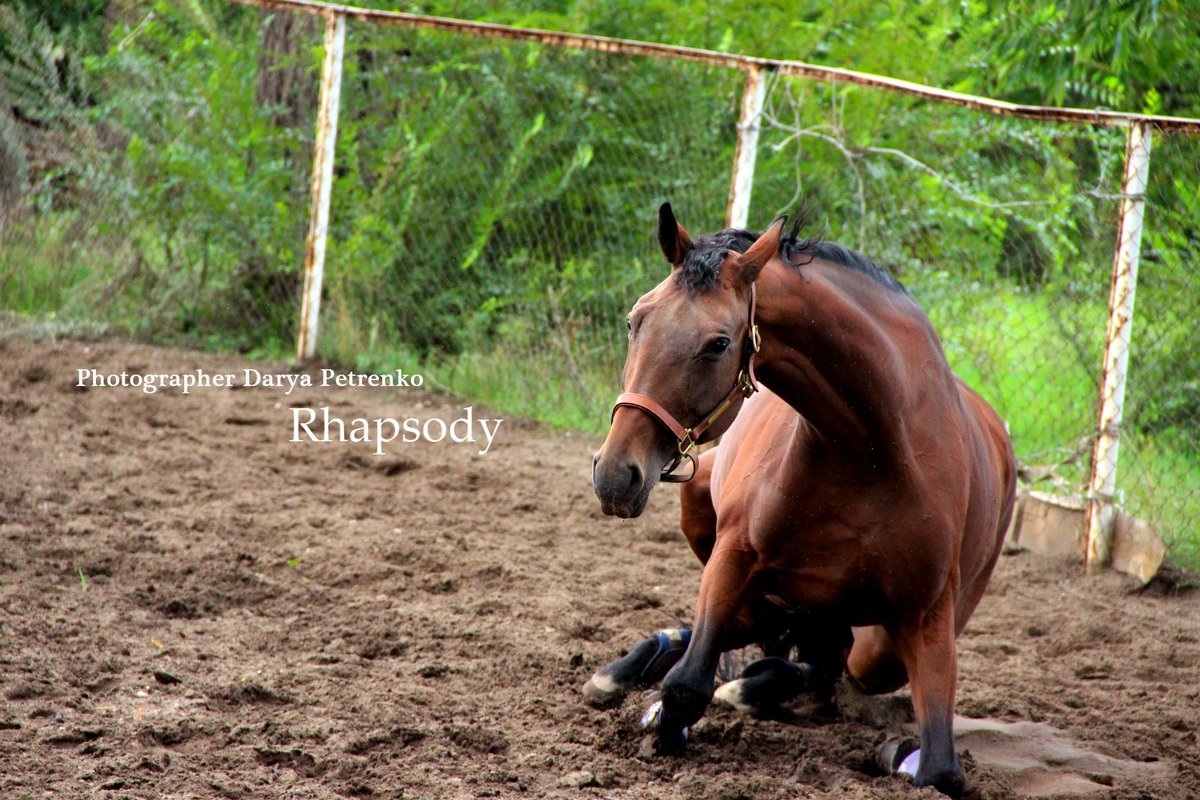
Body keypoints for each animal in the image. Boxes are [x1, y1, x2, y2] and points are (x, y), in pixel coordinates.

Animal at [590, 205, 1012, 796]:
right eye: (635, 320)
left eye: (718, 344)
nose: (615, 475)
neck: (873, 448)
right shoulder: (734, 556)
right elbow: (688, 683)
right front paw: (663, 717)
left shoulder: (926, 618)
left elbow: (941, 770)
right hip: (700, 507)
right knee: (762, 631)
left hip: (876, 648)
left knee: (821, 654)